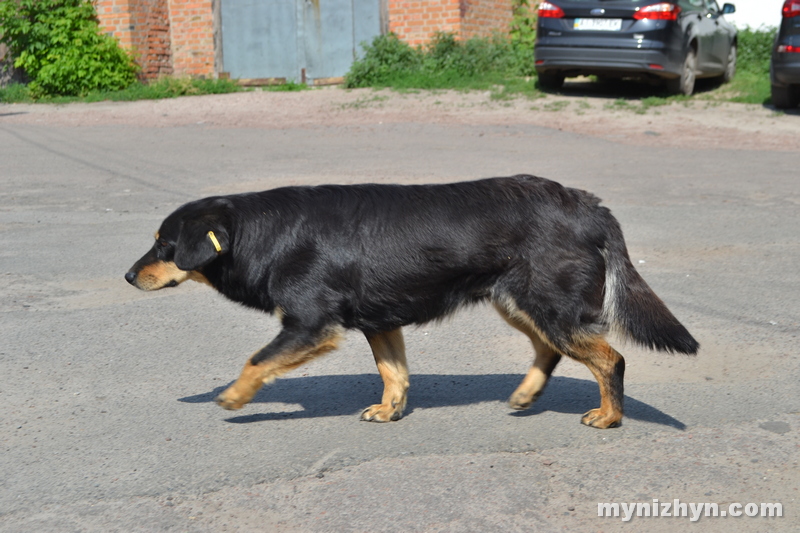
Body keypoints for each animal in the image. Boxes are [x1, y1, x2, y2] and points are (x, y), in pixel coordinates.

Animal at [123, 175, 692, 428]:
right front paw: (390, 409)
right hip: (518, 303)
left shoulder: (310, 324)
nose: (128, 276)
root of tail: (592, 206)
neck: (262, 234)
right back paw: (527, 395)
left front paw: (235, 398)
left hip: (550, 307)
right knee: (550, 351)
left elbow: (256, 360)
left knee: (610, 359)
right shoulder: (380, 322)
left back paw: (609, 417)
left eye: (165, 245)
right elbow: (393, 372)